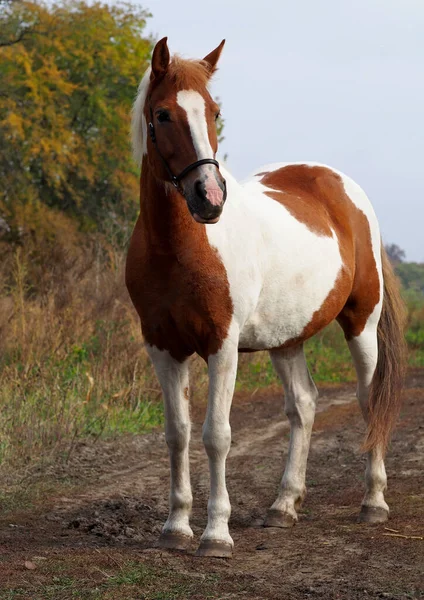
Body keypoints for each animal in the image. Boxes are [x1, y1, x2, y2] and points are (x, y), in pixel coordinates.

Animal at [126, 37, 408, 556]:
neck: (180, 246)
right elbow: (177, 434)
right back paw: (283, 505)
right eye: (162, 115)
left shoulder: (221, 345)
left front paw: (216, 534)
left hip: (362, 324)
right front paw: (175, 527)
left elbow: (216, 435)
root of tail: (342, 186)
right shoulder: (162, 346)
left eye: (214, 111)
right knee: (304, 406)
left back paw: (373, 502)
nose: (209, 198)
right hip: (287, 340)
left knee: (369, 400)